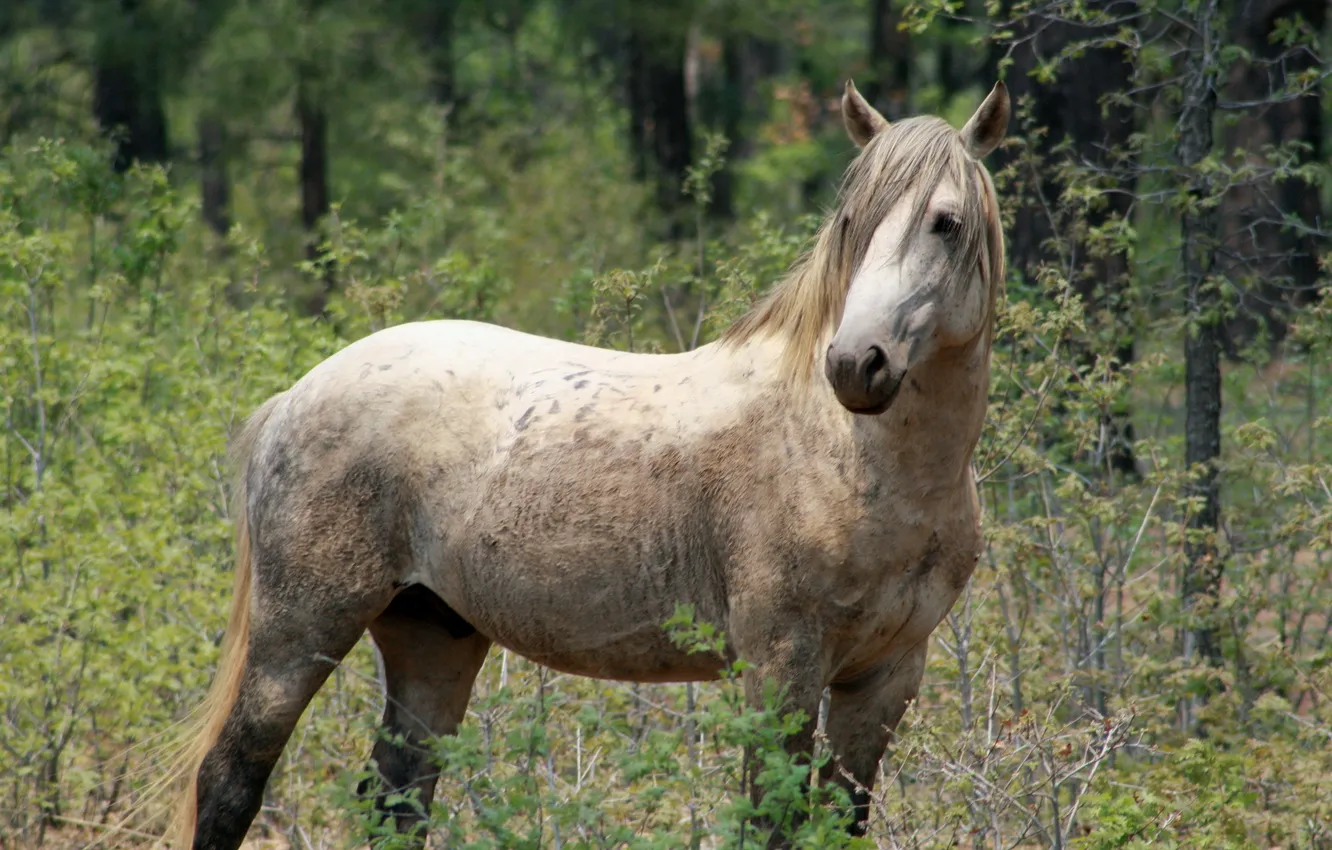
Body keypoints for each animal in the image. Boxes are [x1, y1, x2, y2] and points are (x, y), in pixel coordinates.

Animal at [169, 78, 1009, 849]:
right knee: (232, 779)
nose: (855, 364)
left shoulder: (884, 678)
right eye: (851, 222)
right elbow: (769, 823)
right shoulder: (781, 670)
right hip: (300, 628)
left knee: (396, 798)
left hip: (431, 636)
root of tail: (298, 393)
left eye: (946, 223)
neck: (856, 462)